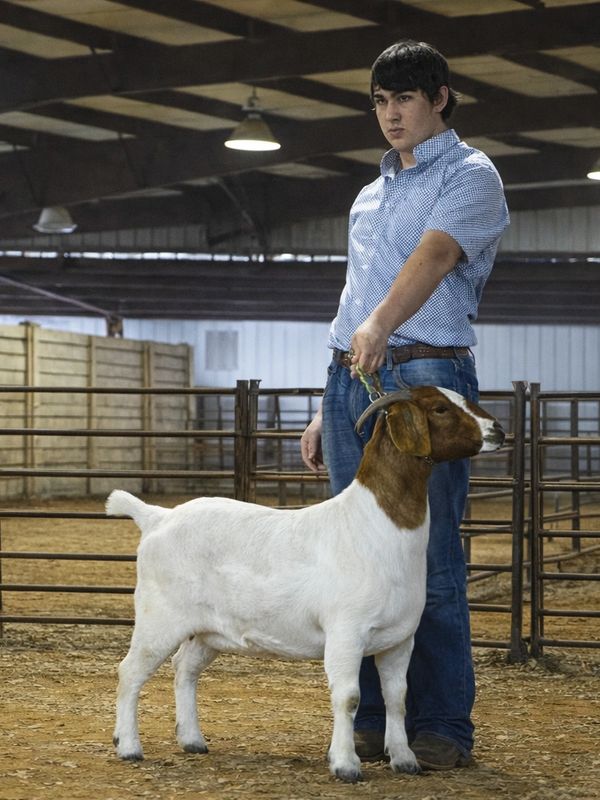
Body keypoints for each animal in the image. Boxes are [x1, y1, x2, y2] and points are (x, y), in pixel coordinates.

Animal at [106, 386, 504, 783]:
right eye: (439, 408)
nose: (498, 430)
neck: (376, 524)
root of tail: (157, 517)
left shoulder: (399, 639)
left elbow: (397, 697)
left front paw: (404, 759)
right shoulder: (346, 632)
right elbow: (348, 697)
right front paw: (345, 764)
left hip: (208, 630)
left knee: (184, 668)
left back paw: (192, 739)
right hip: (159, 616)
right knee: (130, 671)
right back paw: (128, 746)